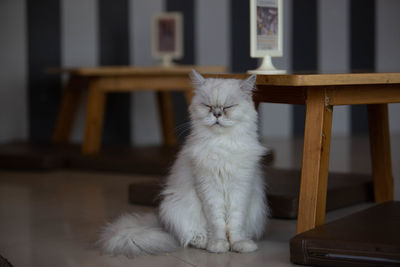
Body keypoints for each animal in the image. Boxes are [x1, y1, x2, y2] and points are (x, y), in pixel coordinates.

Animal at [99, 70, 268, 258]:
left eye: (228, 107)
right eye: (208, 106)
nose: (217, 114)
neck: (221, 145)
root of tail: (160, 221)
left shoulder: (240, 188)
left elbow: (235, 224)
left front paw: (238, 244)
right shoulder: (209, 189)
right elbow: (217, 223)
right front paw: (218, 245)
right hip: (175, 208)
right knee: (191, 236)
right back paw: (204, 242)